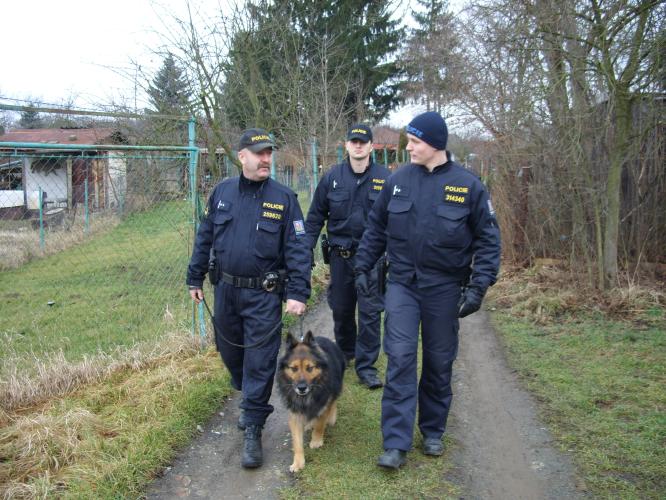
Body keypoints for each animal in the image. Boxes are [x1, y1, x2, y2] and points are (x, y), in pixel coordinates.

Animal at [277, 330, 346, 472]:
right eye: (294, 368)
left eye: (309, 368)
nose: (301, 388)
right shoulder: (295, 412)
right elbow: (297, 441)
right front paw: (298, 463)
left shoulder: (324, 403)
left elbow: (320, 424)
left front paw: (316, 441)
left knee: (333, 403)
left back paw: (330, 418)